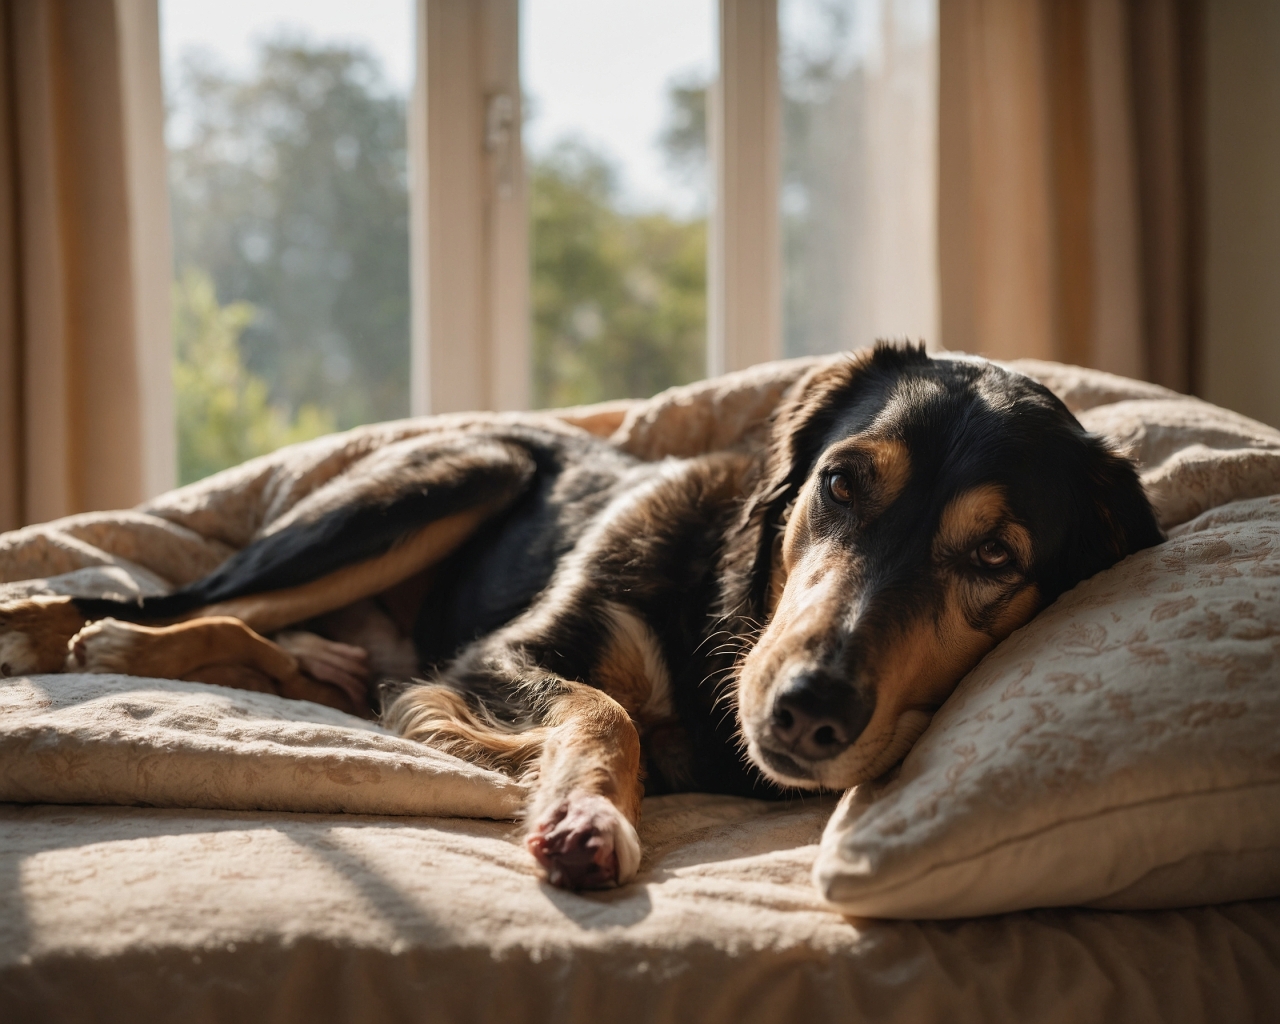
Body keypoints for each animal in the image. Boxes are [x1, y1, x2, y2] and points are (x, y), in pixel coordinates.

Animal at [0, 345, 1162, 885]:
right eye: (841, 482)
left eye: (995, 557)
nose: (807, 711)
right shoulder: (502, 654)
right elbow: (602, 710)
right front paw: (586, 816)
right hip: (442, 479)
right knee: (188, 600)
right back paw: (67, 628)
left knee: (277, 644)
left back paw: (314, 669)